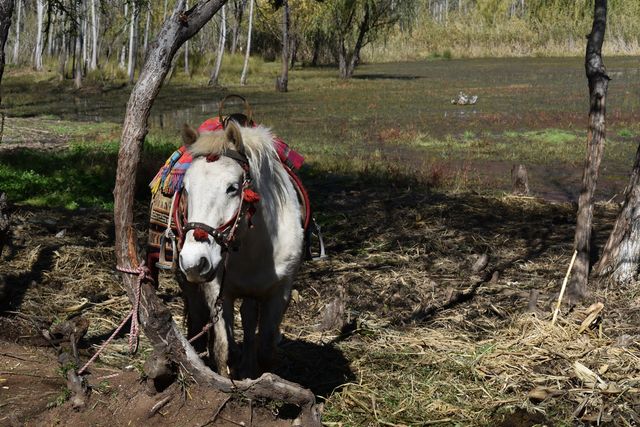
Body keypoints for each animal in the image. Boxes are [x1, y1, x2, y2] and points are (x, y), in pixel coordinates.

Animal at [176, 120, 304, 378]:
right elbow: (223, 349)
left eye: (232, 188)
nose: (194, 262)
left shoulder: (279, 294)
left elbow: (266, 350)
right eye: (185, 188)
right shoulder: (218, 292)